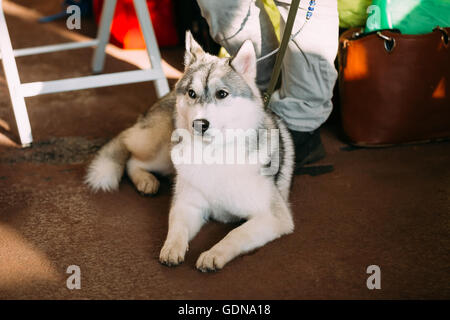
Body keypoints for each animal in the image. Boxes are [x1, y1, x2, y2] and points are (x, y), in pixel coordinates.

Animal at [85, 32, 296, 272]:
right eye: (192, 93)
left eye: (222, 94)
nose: (199, 124)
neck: (213, 155)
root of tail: (165, 96)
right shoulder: (187, 205)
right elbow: (177, 229)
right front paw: (172, 248)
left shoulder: (272, 217)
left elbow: (236, 234)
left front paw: (214, 253)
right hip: (161, 149)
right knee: (132, 159)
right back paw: (146, 181)